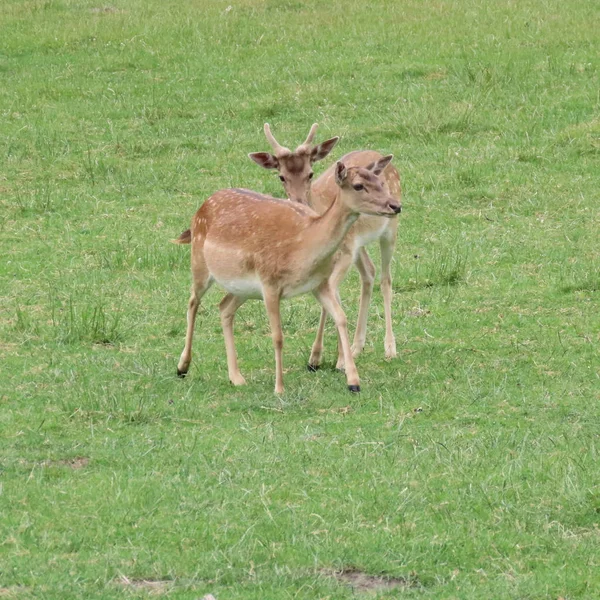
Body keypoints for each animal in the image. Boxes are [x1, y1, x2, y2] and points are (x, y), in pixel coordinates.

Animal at [171, 157, 400, 396]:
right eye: (358, 186)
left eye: (380, 182)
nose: (395, 206)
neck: (302, 247)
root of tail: (200, 209)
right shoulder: (270, 283)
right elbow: (278, 337)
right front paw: (279, 388)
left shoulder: (320, 284)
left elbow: (341, 317)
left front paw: (353, 381)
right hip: (200, 263)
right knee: (192, 302)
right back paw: (182, 367)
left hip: (242, 287)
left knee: (224, 307)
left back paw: (236, 377)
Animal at [248, 125, 404, 372]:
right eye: (281, 176)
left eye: (310, 173)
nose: (299, 202)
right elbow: (331, 299)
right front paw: (318, 357)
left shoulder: (343, 255)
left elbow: (332, 299)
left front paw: (338, 360)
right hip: (358, 246)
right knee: (368, 272)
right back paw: (357, 346)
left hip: (389, 229)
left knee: (385, 278)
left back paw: (390, 348)